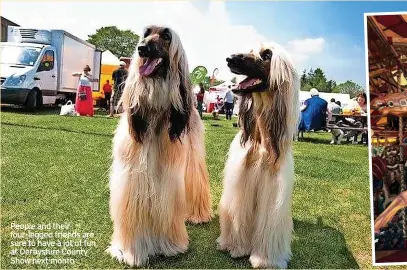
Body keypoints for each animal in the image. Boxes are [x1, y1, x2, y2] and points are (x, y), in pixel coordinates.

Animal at [108, 26, 214, 266]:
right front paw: (131, 251)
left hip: (192, 156)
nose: (142, 48)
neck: (155, 111)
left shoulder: (167, 176)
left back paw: (197, 214)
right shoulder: (133, 173)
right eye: (146, 33)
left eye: (166, 36)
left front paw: (169, 245)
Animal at [217, 44, 300, 268]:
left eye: (267, 55)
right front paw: (236, 247)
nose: (229, 59)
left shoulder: (274, 185)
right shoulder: (242, 177)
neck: (263, 139)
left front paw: (265, 259)